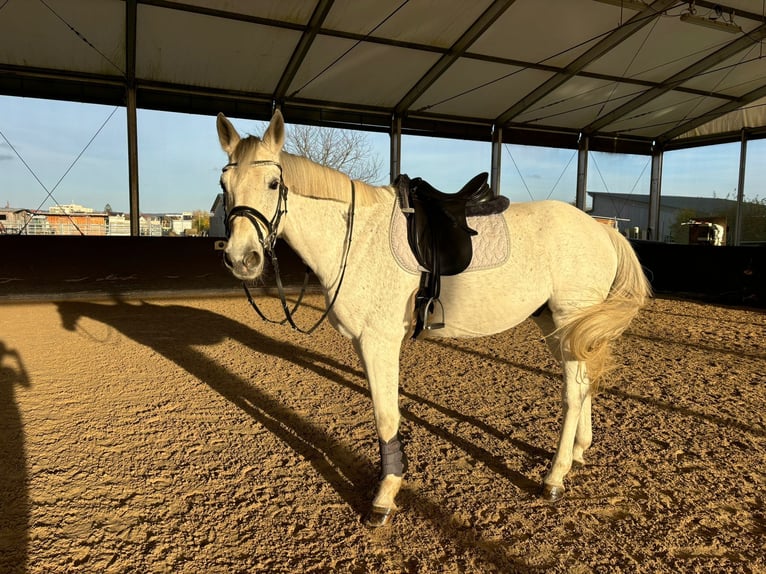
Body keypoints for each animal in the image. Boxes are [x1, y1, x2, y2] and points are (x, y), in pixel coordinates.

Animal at [215, 109, 651, 526]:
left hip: (568, 319)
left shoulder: (380, 341)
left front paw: (385, 495)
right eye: (224, 185)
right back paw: (578, 451)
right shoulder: (363, 342)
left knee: (573, 393)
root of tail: (601, 230)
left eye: (274, 183)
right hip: (557, 326)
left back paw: (555, 476)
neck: (356, 238)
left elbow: (386, 416)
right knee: (585, 382)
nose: (241, 259)